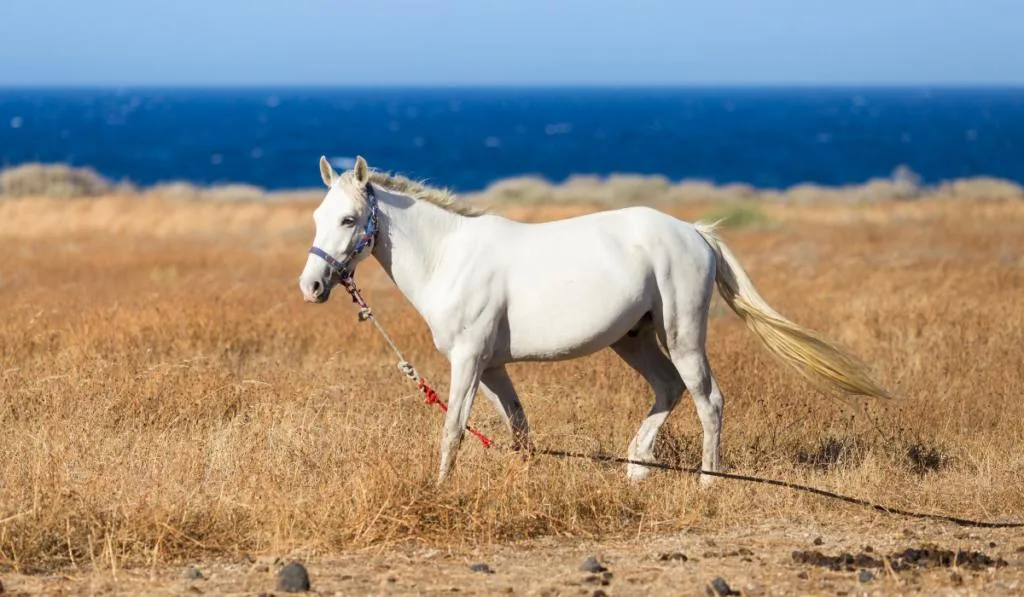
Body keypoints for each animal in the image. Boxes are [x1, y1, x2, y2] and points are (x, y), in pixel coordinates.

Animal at [296, 155, 888, 485]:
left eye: (349, 219)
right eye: (318, 216)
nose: (312, 287)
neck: (451, 257)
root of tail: (694, 233)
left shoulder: (468, 362)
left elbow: (453, 430)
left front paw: (439, 490)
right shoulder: (492, 367)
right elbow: (518, 428)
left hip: (682, 334)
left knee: (707, 400)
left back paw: (707, 483)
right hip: (633, 338)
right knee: (668, 389)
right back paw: (636, 468)